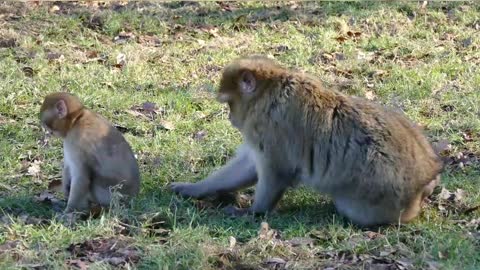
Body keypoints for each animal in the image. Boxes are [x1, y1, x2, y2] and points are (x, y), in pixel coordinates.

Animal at [172, 56, 442, 227]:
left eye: (229, 103)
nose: (230, 118)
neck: (267, 92)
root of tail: (426, 177)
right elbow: (246, 167)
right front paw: (194, 188)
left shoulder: (271, 126)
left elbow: (276, 171)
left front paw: (253, 211)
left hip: (378, 197)